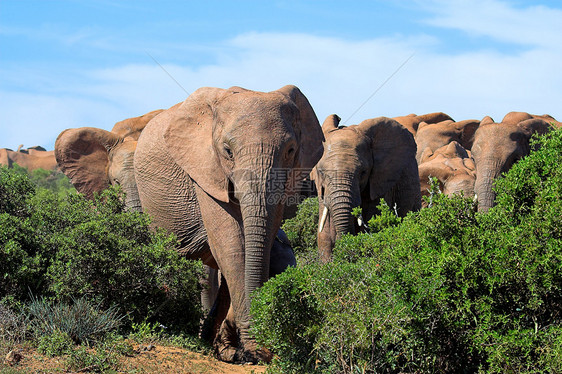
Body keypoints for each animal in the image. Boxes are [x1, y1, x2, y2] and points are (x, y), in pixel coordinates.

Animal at [132, 84, 322, 362]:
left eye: (290, 150)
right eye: (227, 151)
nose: (265, 350)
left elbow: (258, 246)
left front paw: (243, 348)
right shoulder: (205, 170)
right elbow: (232, 247)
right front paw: (252, 349)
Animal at [312, 114, 418, 262]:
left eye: (363, 172)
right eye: (321, 172)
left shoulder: (380, 182)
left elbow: (372, 224)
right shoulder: (321, 190)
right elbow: (325, 233)